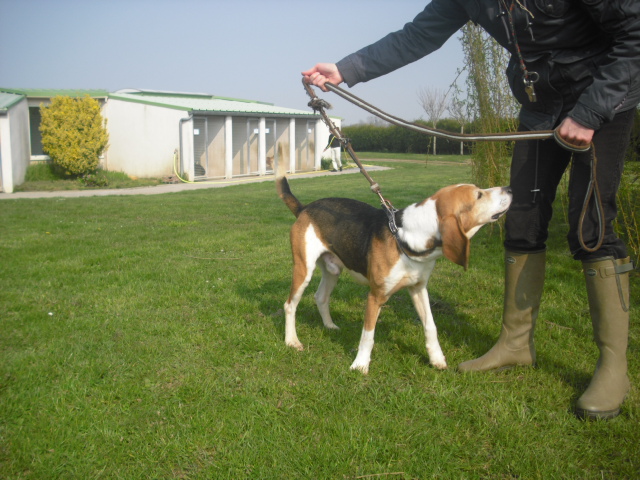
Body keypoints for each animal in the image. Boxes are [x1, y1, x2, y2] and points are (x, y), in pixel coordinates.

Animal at [278, 176, 512, 376]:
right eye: (479, 195)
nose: (510, 188)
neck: (408, 237)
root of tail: (305, 208)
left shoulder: (418, 288)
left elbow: (430, 326)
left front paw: (436, 359)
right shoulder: (375, 296)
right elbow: (368, 335)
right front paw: (360, 365)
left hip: (333, 270)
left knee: (321, 297)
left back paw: (329, 326)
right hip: (303, 270)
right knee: (290, 305)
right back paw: (292, 341)